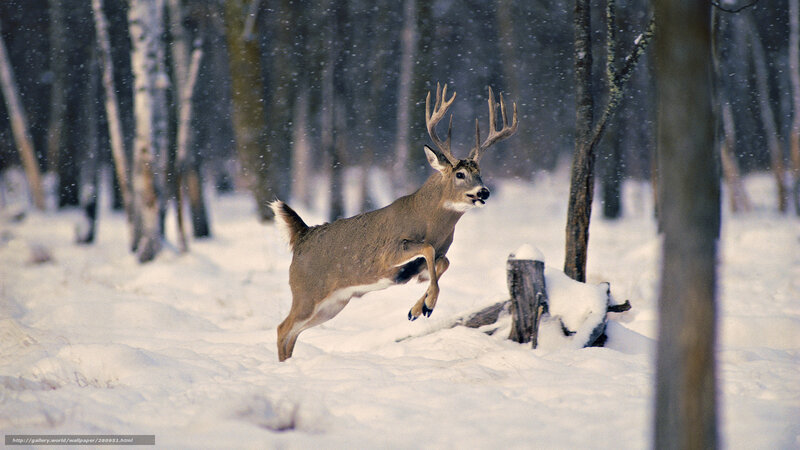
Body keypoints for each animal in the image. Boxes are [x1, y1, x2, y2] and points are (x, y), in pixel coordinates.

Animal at [272, 83, 518, 361]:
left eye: (480, 173)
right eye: (460, 174)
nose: (483, 191)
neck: (430, 222)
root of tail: (302, 235)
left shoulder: (433, 258)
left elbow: (443, 262)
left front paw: (418, 309)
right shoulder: (388, 254)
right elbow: (428, 249)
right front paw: (428, 305)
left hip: (333, 303)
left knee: (293, 333)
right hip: (306, 292)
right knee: (282, 328)